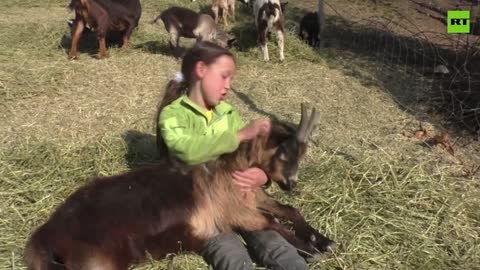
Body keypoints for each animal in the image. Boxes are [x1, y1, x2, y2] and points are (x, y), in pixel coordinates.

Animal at [24, 104, 336, 268]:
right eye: (283, 153)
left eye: (302, 155)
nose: (292, 183)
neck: (230, 172)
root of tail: (45, 236)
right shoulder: (237, 213)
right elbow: (273, 223)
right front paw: (309, 248)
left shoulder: (251, 198)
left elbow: (289, 210)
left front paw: (321, 239)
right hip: (95, 261)